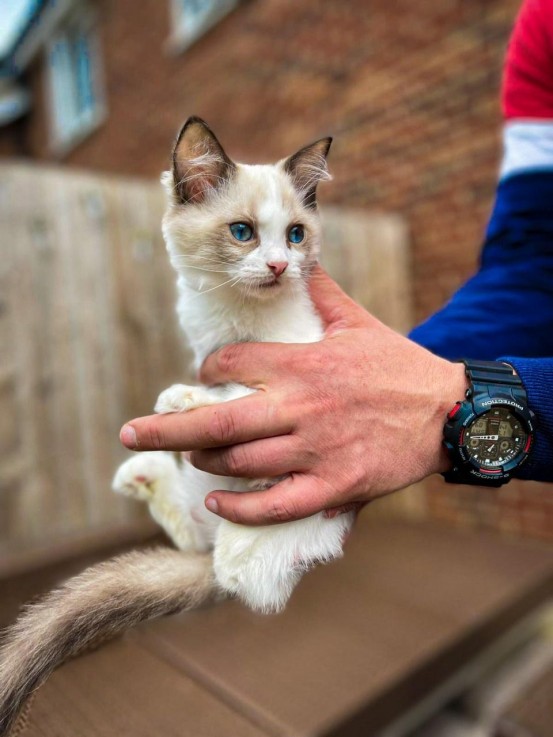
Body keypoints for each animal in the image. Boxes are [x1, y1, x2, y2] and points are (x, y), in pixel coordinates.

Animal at [0, 118, 354, 732]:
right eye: (242, 232)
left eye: (295, 235)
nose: (280, 267)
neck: (240, 319)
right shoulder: (207, 347)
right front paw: (184, 403)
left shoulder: (304, 360)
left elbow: (244, 393)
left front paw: (190, 401)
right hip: (199, 507)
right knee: (193, 534)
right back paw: (144, 479)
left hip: (292, 532)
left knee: (247, 581)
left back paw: (238, 551)